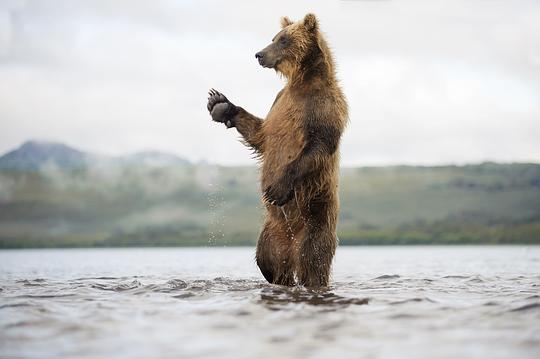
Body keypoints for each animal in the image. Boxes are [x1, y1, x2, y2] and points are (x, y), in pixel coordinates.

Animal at [205, 13, 348, 286]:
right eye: (273, 37)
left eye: (283, 39)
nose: (259, 54)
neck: (303, 82)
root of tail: (291, 244)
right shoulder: (279, 104)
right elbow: (260, 135)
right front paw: (220, 104)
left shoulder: (324, 107)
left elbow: (318, 145)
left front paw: (277, 189)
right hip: (271, 235)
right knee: (269, 263)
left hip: (316, 219)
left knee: (313, 262)